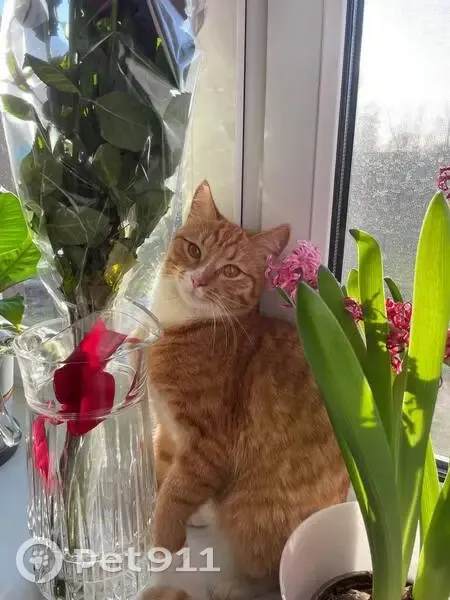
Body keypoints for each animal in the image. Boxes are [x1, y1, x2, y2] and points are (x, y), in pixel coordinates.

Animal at [145, 181, 349, 599]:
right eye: (194, 250)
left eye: (230, 270)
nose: (198, 279)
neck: (183, 327)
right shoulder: (168, 430)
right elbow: (167, 471)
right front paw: (196, 516)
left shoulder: (209, 445)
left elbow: (176, 492)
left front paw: (165, 540)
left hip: (252, 512)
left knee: (268, 574)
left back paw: (230, 587)